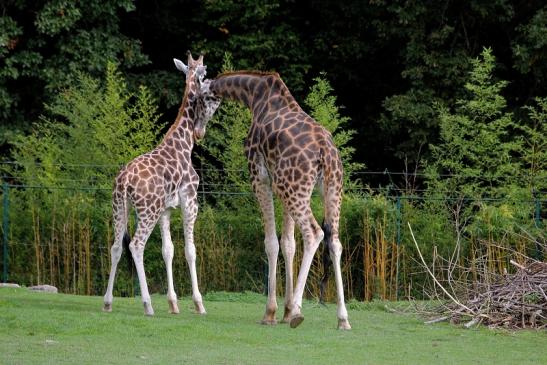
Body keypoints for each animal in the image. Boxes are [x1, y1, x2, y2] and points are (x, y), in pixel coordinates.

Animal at [104, 52, 211, 316]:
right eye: (203, 74)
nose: (200, 134)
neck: (184, 144)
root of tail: (124, 180)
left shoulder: (166, 209)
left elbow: (167, 250)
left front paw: (173, 304)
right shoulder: (190, 202)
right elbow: (190, 251)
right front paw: (198, 304)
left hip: (119, 207)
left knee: (116, 247)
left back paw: (107, 302)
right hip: (147, 211)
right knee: (136, 246)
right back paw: (147, 304)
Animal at [199, 71, 354, 330]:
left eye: (200, 99)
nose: (198, 132)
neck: (255, 96)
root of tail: (326, 151)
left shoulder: (260, 177)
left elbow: (271, 242)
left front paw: (272, 313)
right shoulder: (280, 185)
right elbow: (289, 243)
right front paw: (286, 310)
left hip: (294, 188)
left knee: (314, 233)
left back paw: (300, 311)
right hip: (329, 188)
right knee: (334, 241)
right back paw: (342, 318)